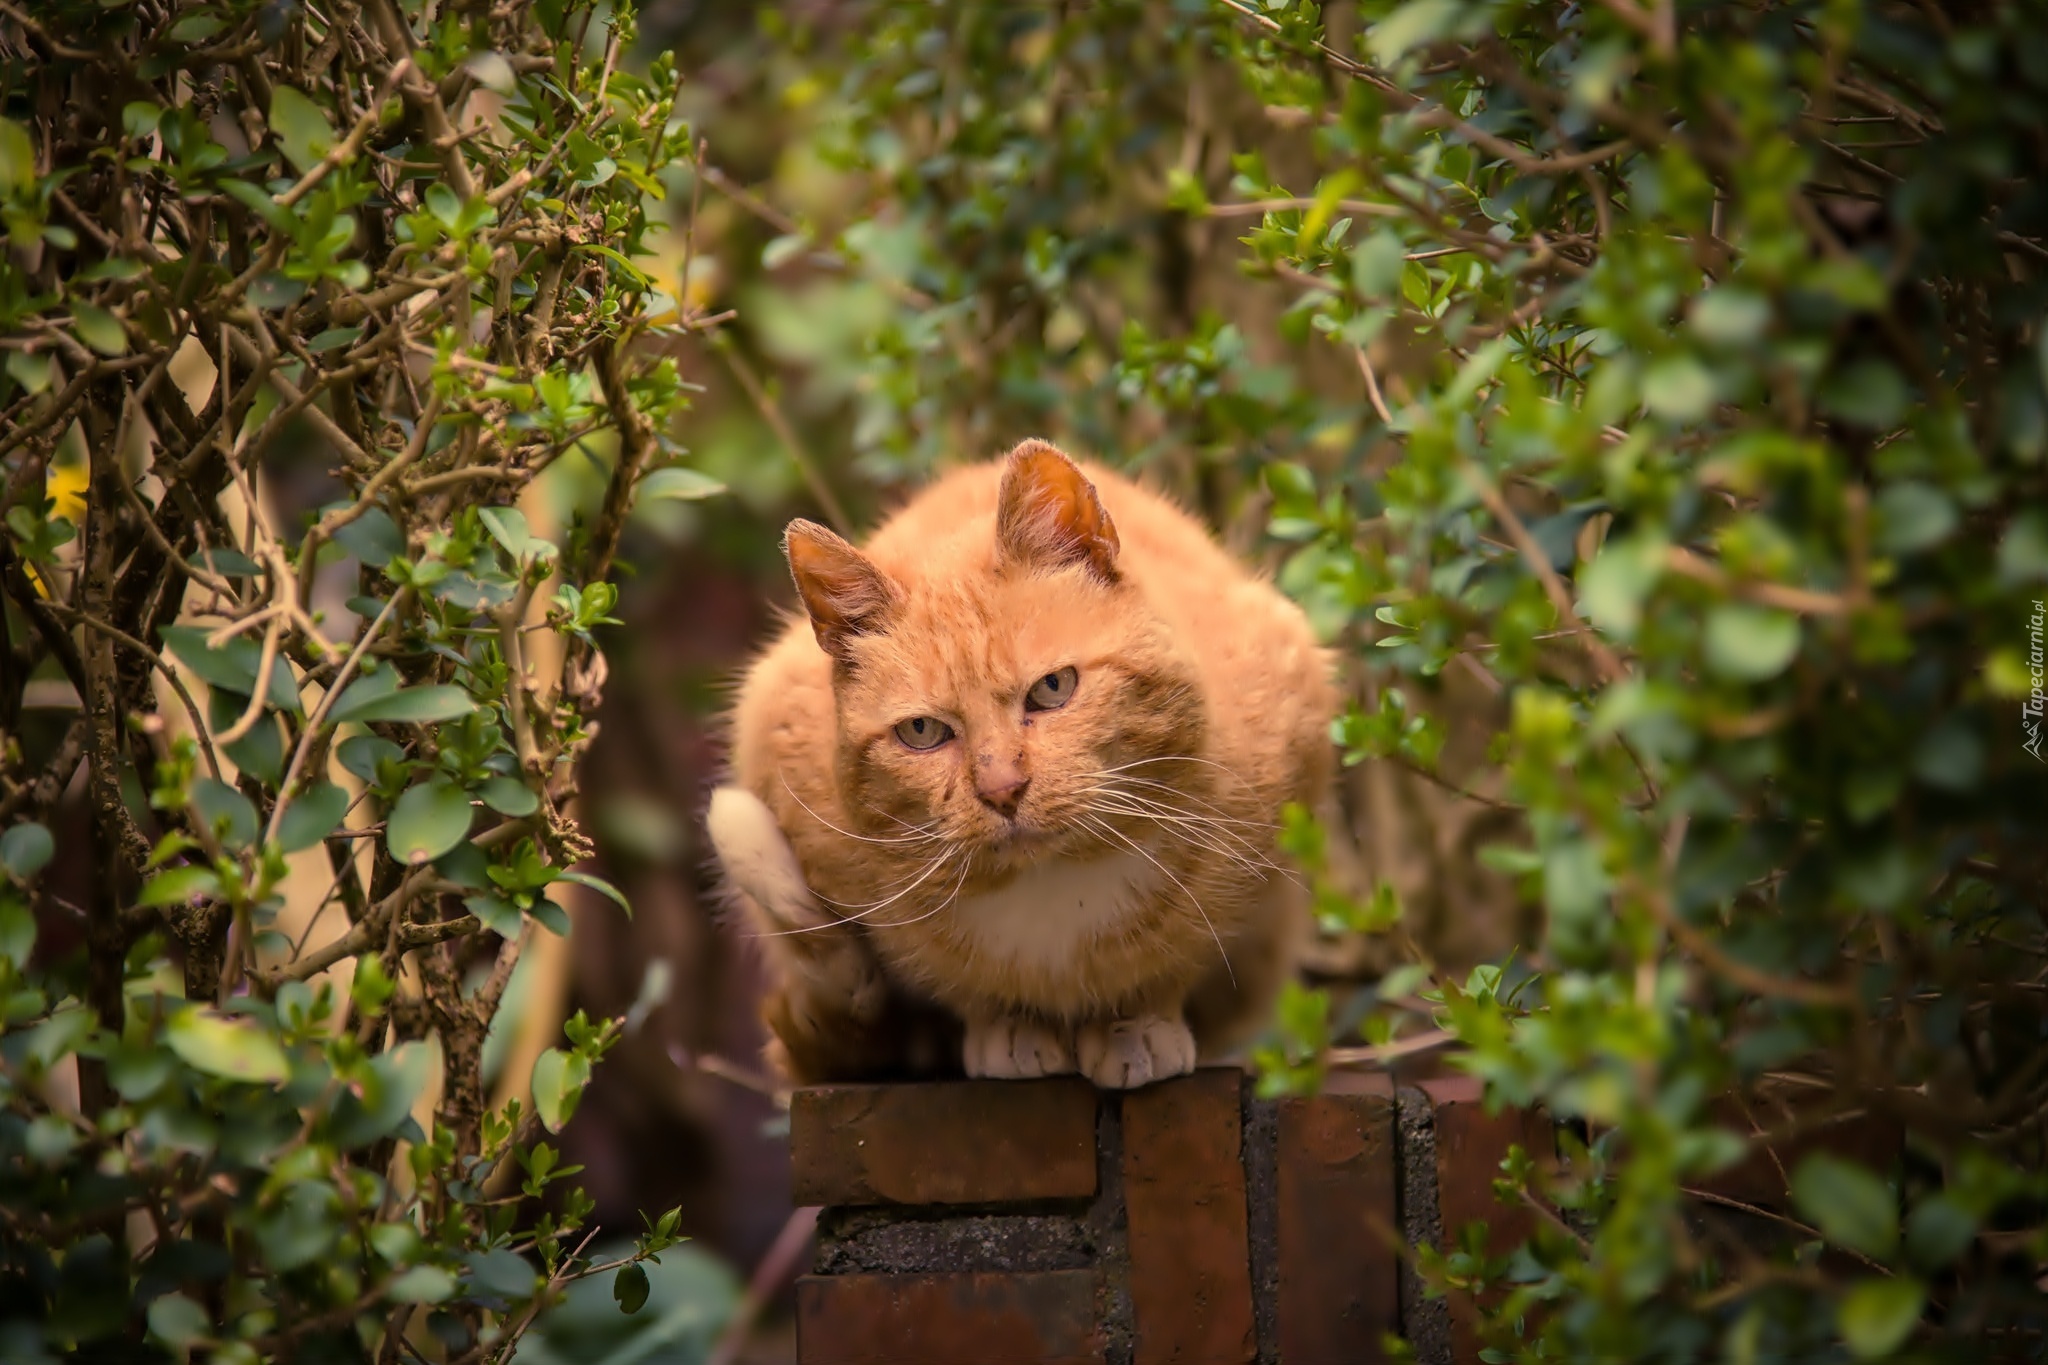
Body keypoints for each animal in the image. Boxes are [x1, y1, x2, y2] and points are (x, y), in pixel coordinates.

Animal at [708, 444, 1343, 1096]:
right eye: (922, 732)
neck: (1052, 892)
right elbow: (963, 986)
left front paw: (1135, 1024)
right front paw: (1010, 1027)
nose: (1002, 790)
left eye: (1053, 688)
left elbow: (1174, 958)